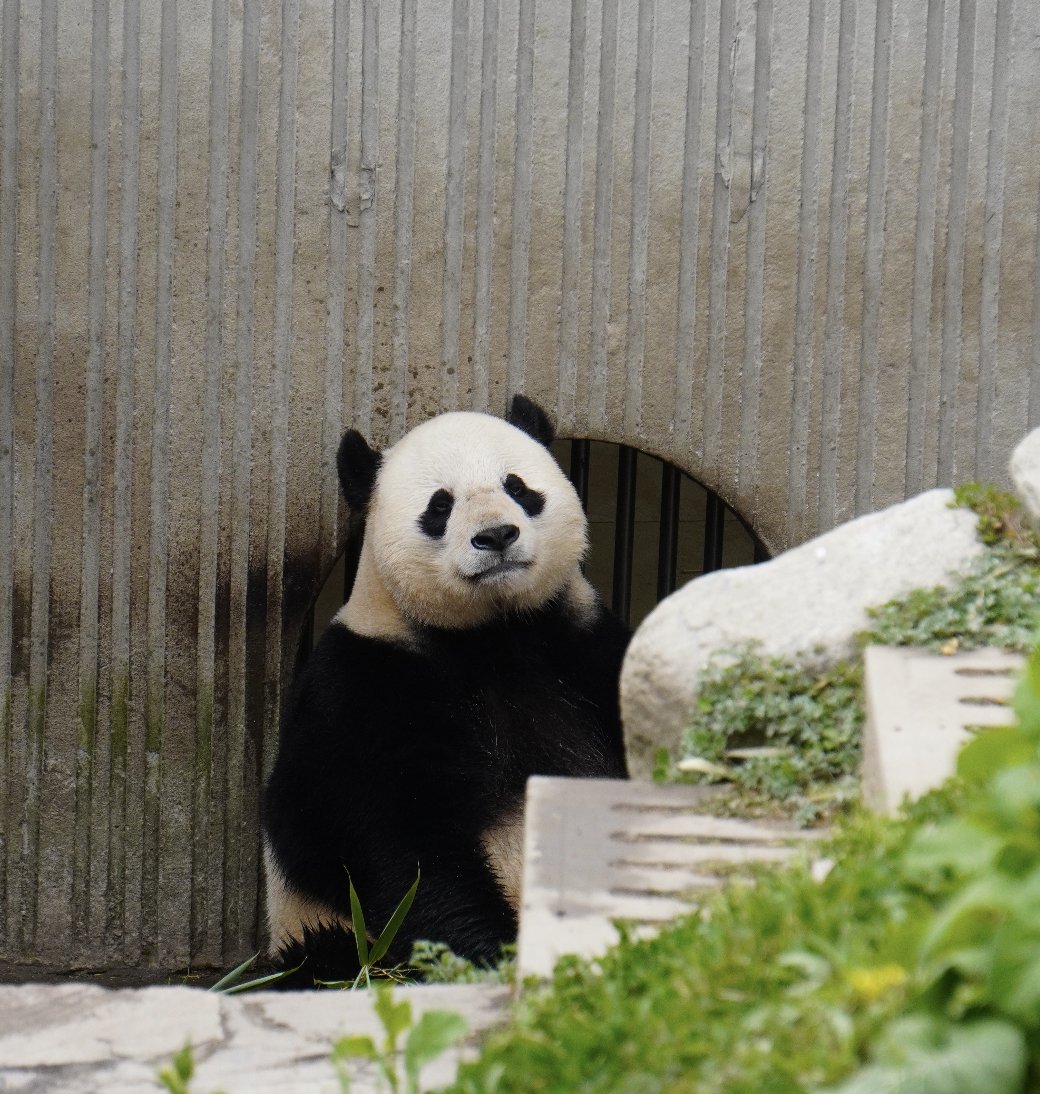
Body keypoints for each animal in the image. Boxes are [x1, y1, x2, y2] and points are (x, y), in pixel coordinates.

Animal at [261, 395, 629, 984]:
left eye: (517, 487)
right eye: (440, 506)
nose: (496, 536)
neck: (492, 634)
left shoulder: (583, 647)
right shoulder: (367, 687)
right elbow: (404, 844)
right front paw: (494, 955)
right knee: (322, 962)